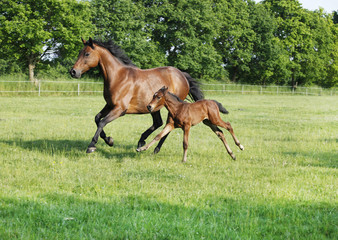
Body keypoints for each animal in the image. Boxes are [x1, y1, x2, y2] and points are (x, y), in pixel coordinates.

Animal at [69, 37, 203, 154]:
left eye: (86, 54)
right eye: (80, 53)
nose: (73, 72)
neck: (118, 77)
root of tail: (182, 75)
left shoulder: (119, 109)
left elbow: (102, 122)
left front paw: (92, 146)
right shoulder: (109, 105)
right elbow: (97, 118)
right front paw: (109, 140)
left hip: (172, 107)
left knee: (167, 126)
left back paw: (155, 149)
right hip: (154, 107)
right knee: (158, 123)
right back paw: (141, 141)